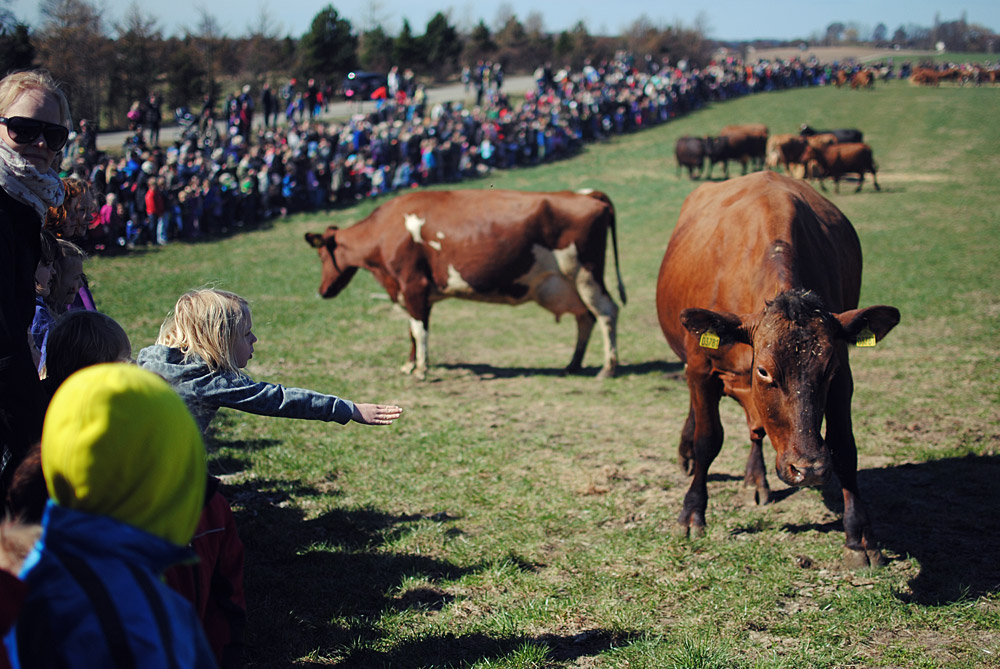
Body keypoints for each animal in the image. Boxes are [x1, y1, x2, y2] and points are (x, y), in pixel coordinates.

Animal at [656, 171, 900, 564]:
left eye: (827, 371)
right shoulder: (701, 369)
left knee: (757, 432)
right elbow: (708, 439)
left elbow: (845, 447)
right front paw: (692, 513)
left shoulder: (843, 376)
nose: (809, 468)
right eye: (765, 371)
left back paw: (756, 479)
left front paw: (860, 536)